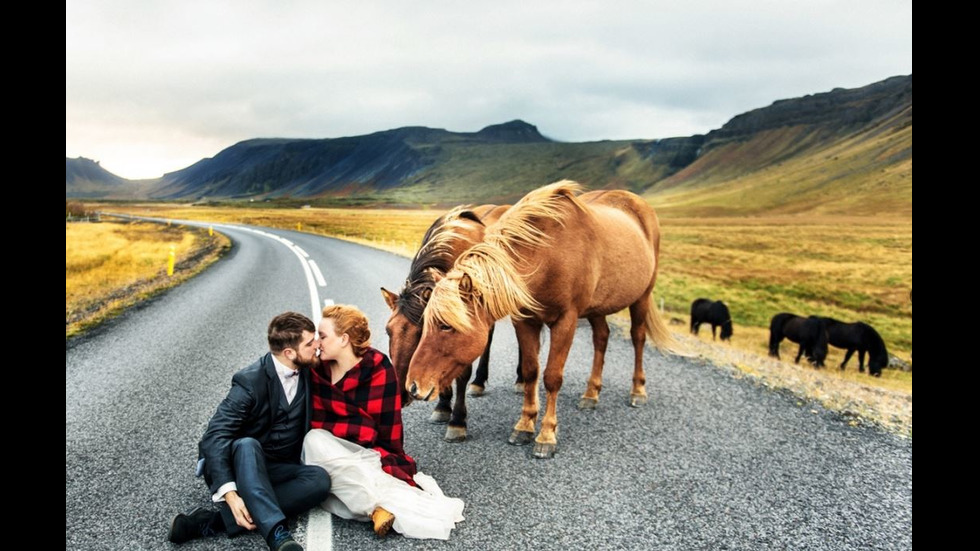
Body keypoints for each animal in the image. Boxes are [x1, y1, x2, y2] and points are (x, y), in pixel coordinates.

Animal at [378, 205, 510, 442]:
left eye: (421, 332)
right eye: (387, 331)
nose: (401, 394)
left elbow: (462, 374)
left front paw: (457, 421)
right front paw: (442, 406)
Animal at [404, 183, 672, 460]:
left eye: (446, 325)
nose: (412, 386)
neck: (548, 254)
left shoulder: (566, 322)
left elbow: (552, 377)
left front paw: (546, 435)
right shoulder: (525, 321)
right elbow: (531, 372)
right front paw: (524, 425)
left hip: (642, 296)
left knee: (638, 337)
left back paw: (638, 391)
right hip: (599, 308)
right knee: (601, 338)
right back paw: (591, 394)